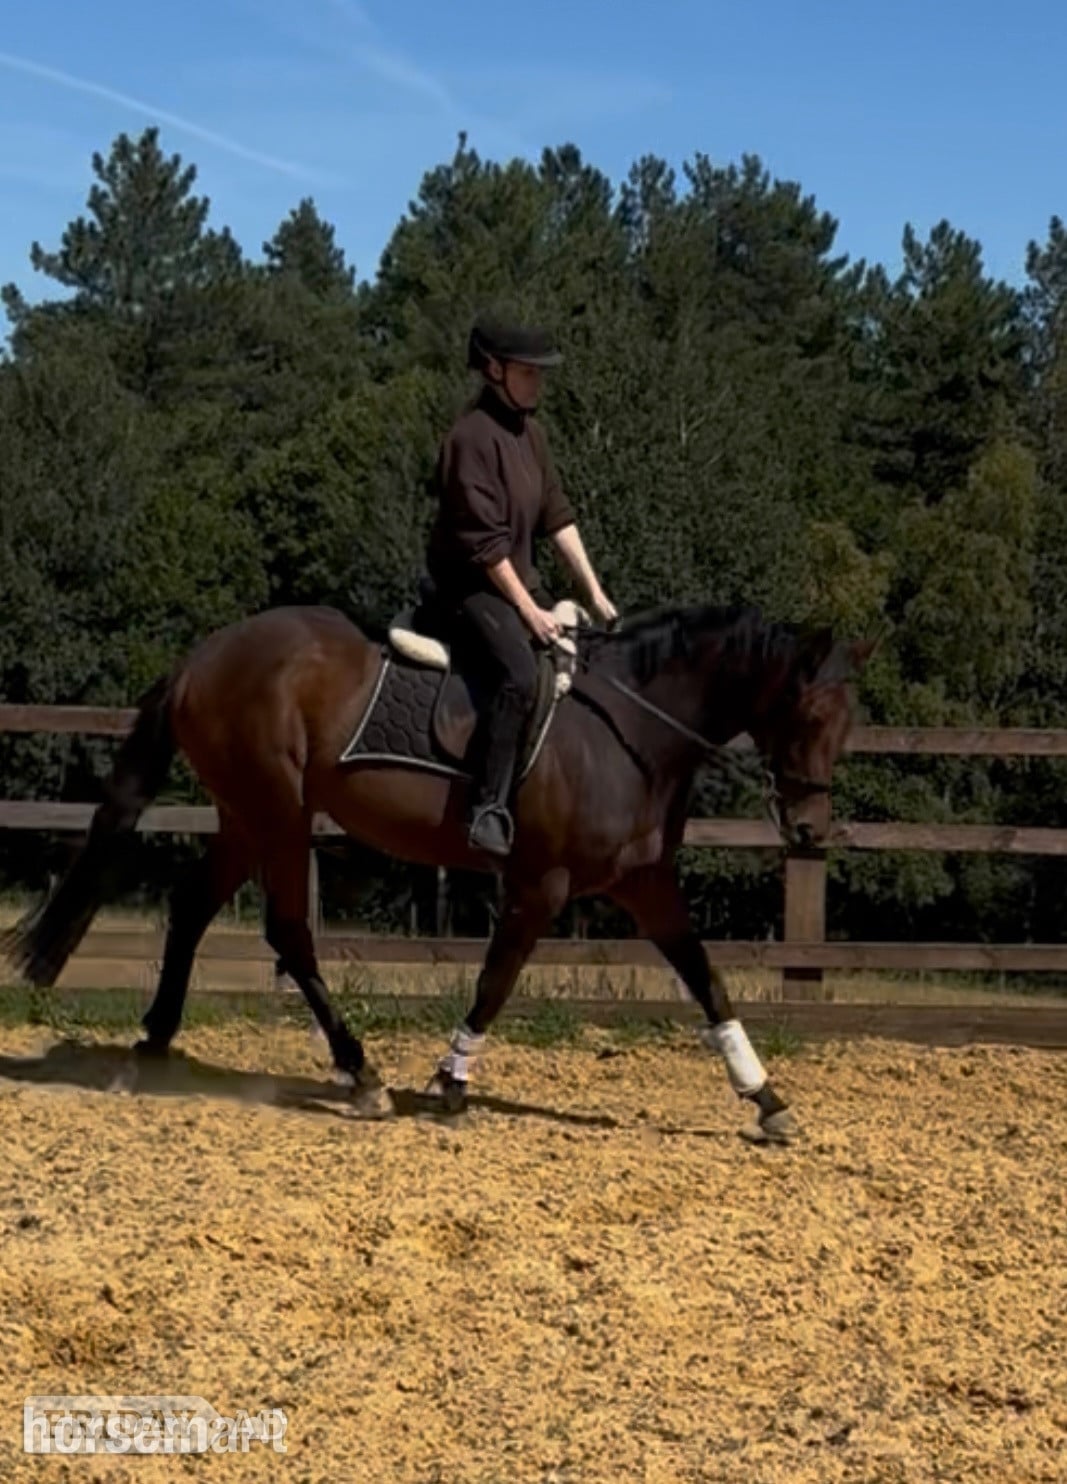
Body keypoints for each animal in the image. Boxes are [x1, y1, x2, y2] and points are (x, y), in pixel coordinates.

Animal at [2, 600, 873, 1143]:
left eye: (847, 723)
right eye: (805, 713)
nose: (807, 830)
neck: (626, 728)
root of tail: (206, 655)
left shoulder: (645, 884)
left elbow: (705, 979)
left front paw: (766, 1099)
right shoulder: (539, 884)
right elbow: (497, 978)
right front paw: (451, 1082)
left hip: (245, 817)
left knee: (191, 909)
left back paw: (151, 1048)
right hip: (277, 813)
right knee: (288, 930)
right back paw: (359, 1075)